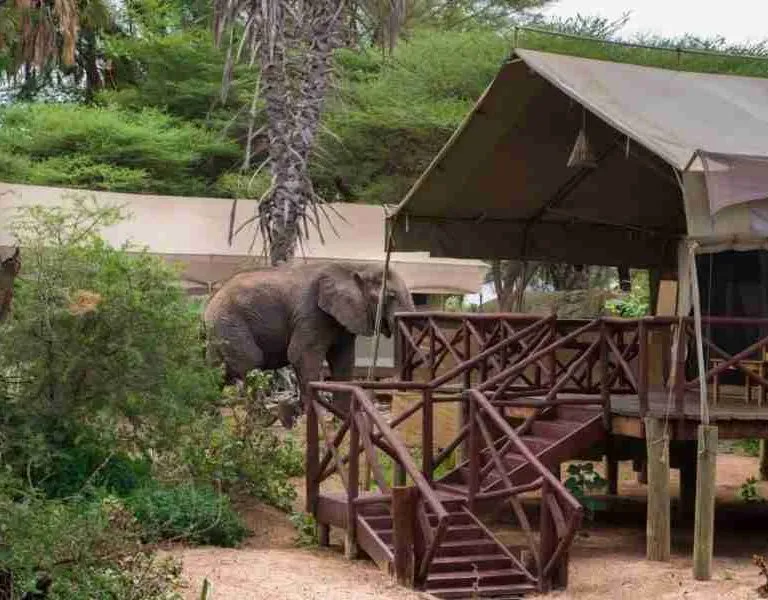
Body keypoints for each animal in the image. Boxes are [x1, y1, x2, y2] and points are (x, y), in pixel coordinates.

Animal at [200, 262, 414, 426]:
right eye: (391, 296)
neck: (353, 267)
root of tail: (208, 303)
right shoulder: (311, 313)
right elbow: (301, 355)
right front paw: (316, 416)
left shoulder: (342, 320)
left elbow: (343, 361)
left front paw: (341, 419)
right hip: (231, 323)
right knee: (251, 362)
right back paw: (265, 420)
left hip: (220, 330)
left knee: (217, 371)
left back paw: (210, 420)